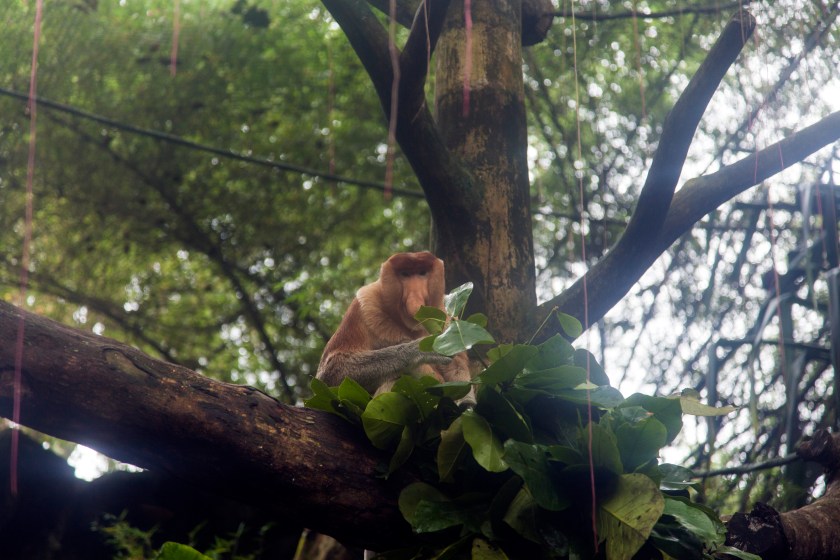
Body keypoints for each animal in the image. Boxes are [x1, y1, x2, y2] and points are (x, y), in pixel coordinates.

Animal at [316, 251, 473, 397]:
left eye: (422, 273)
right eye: (405, 274)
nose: (416, 299)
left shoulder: (447, 316)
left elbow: (458, 370)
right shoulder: (364, 304)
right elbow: (331, 371)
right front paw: (417, 350)